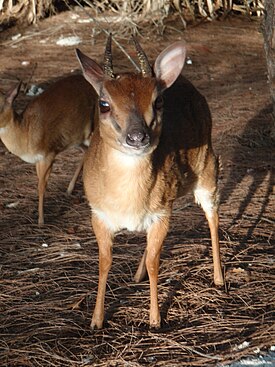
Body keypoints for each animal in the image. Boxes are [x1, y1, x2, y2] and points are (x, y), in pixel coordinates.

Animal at [0, 74, 97, 224]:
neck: (25, 132)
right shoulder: (38, 159)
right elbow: (40, 183)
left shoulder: (48, 154)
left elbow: (41, 186)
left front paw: (41, 220)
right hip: (76, 138)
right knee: (87, 153)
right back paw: (70, 189)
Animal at [76, 35, 224, 330]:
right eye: (103, 104)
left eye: (158, 102)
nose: (137, 137)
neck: (127, 203)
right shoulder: (98, 213)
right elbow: (104, 262)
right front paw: (96, 320)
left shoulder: (161, 212)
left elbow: (157, 263)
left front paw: (155, 319)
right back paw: (136, 274)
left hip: (208, 168)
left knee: (213, 218)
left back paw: (219, 278)